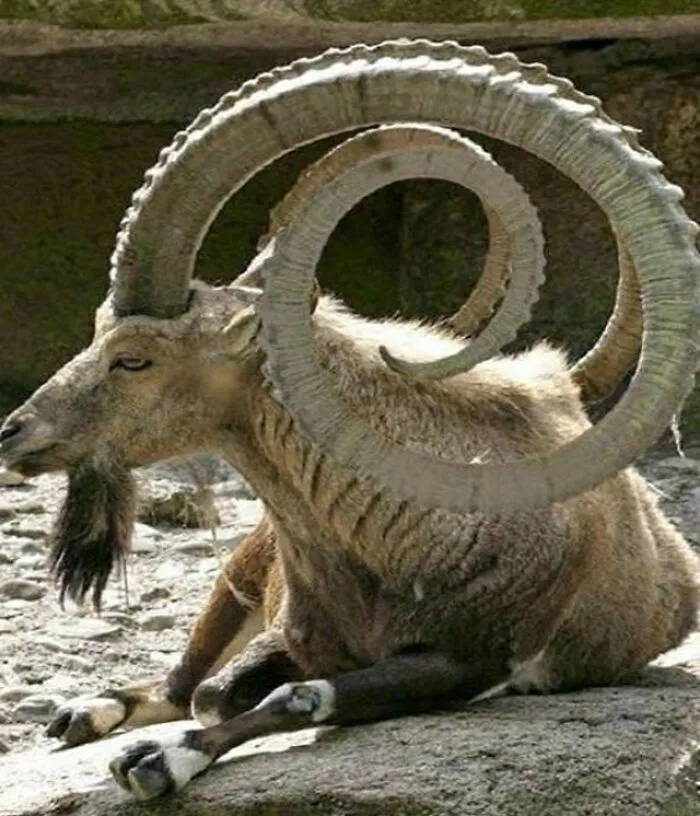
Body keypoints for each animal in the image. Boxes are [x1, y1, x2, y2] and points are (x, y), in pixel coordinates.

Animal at [1, 40, 699, 801]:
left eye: (133, 359)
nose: (14, 432)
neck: (399, 532)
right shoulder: (295, 633)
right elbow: (216, 691)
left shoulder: (476, 660)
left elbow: (292, 697)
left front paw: (160, 760)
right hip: (239, 570)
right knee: (180, 678)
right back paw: (82, 712)